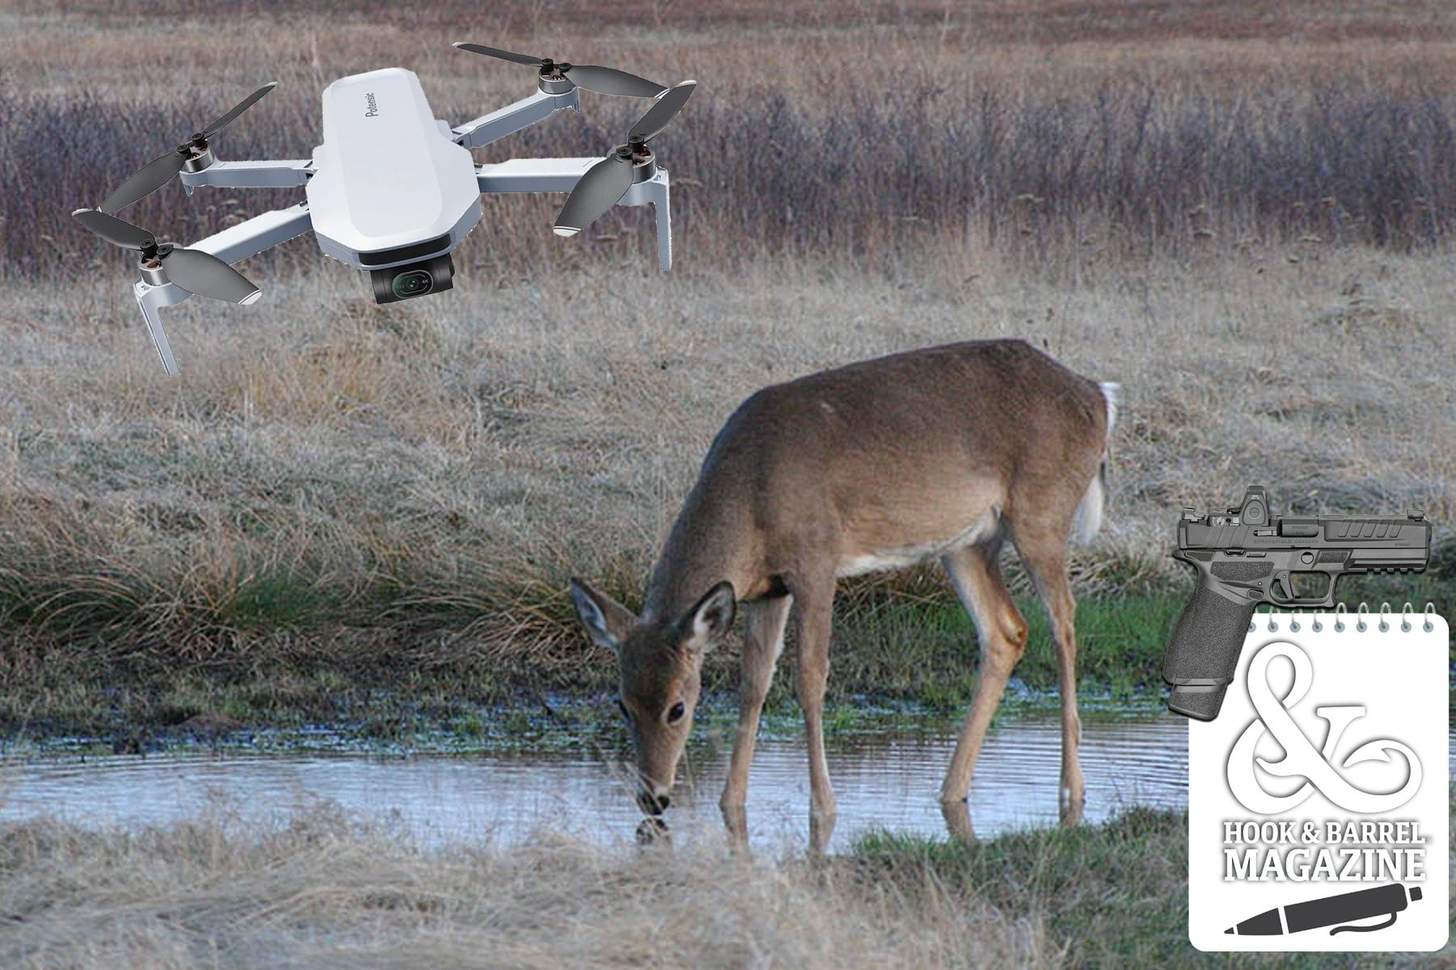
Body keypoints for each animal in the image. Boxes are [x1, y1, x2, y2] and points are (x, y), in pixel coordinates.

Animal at [569, 339, 1119, 850]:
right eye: (621, 703)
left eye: (678, 708)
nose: (653, 797)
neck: (752, 496)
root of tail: (1097, 395)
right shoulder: (768, 589)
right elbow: (754, 681)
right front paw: (732, 804)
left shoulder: (816, 559)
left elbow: (810, 677)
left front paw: (823, 809)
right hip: (965, 542)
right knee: (1006, 631)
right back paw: (952, 790)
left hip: (1041, 513)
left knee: (1064, 623)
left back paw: (1072, 791)